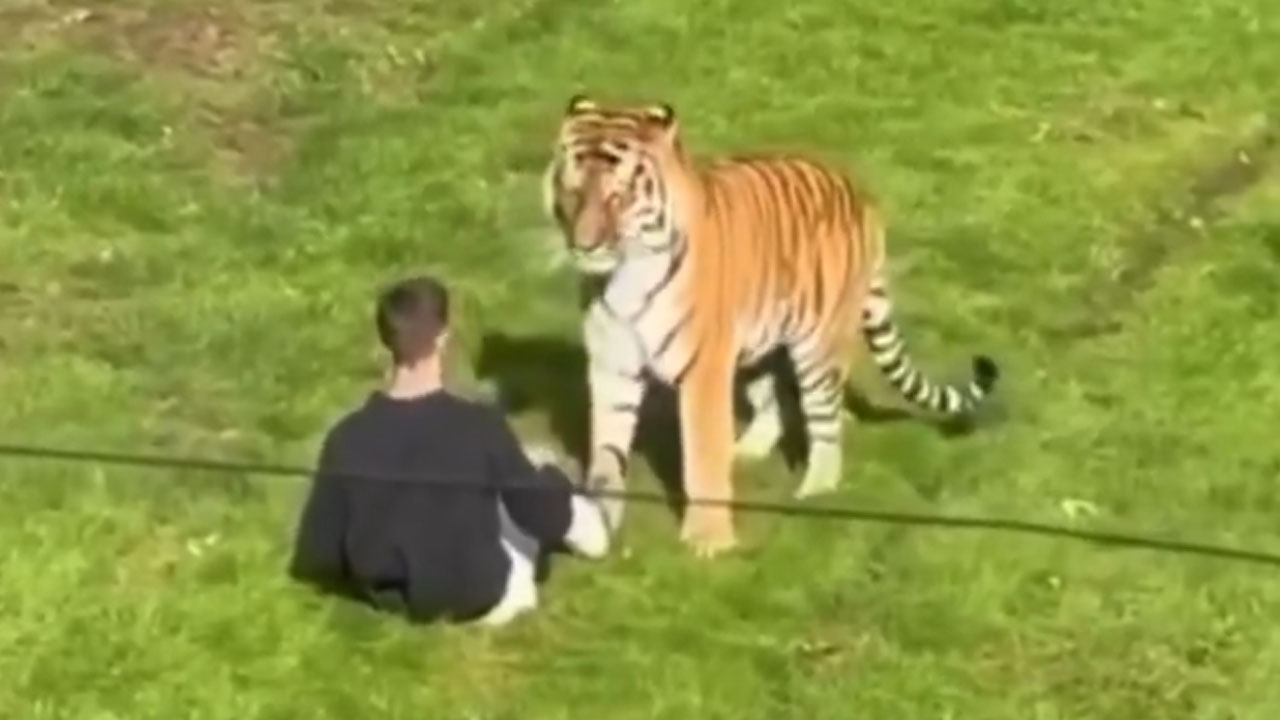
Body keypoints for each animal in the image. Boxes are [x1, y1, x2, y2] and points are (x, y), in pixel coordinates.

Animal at [541, 95, 999, 557]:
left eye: (618, 197)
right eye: (573, 191)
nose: (584, 246)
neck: (624, 277)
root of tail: (861, 193)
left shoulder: (704, 369)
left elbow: (702, 454)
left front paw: (708, 541)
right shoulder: (611, 366)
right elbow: (606, 449)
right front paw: (599, 524)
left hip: (818, 347)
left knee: (824, 420)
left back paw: (815, 492)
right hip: (763, 339)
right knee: (774, 396)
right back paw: (745, 451)